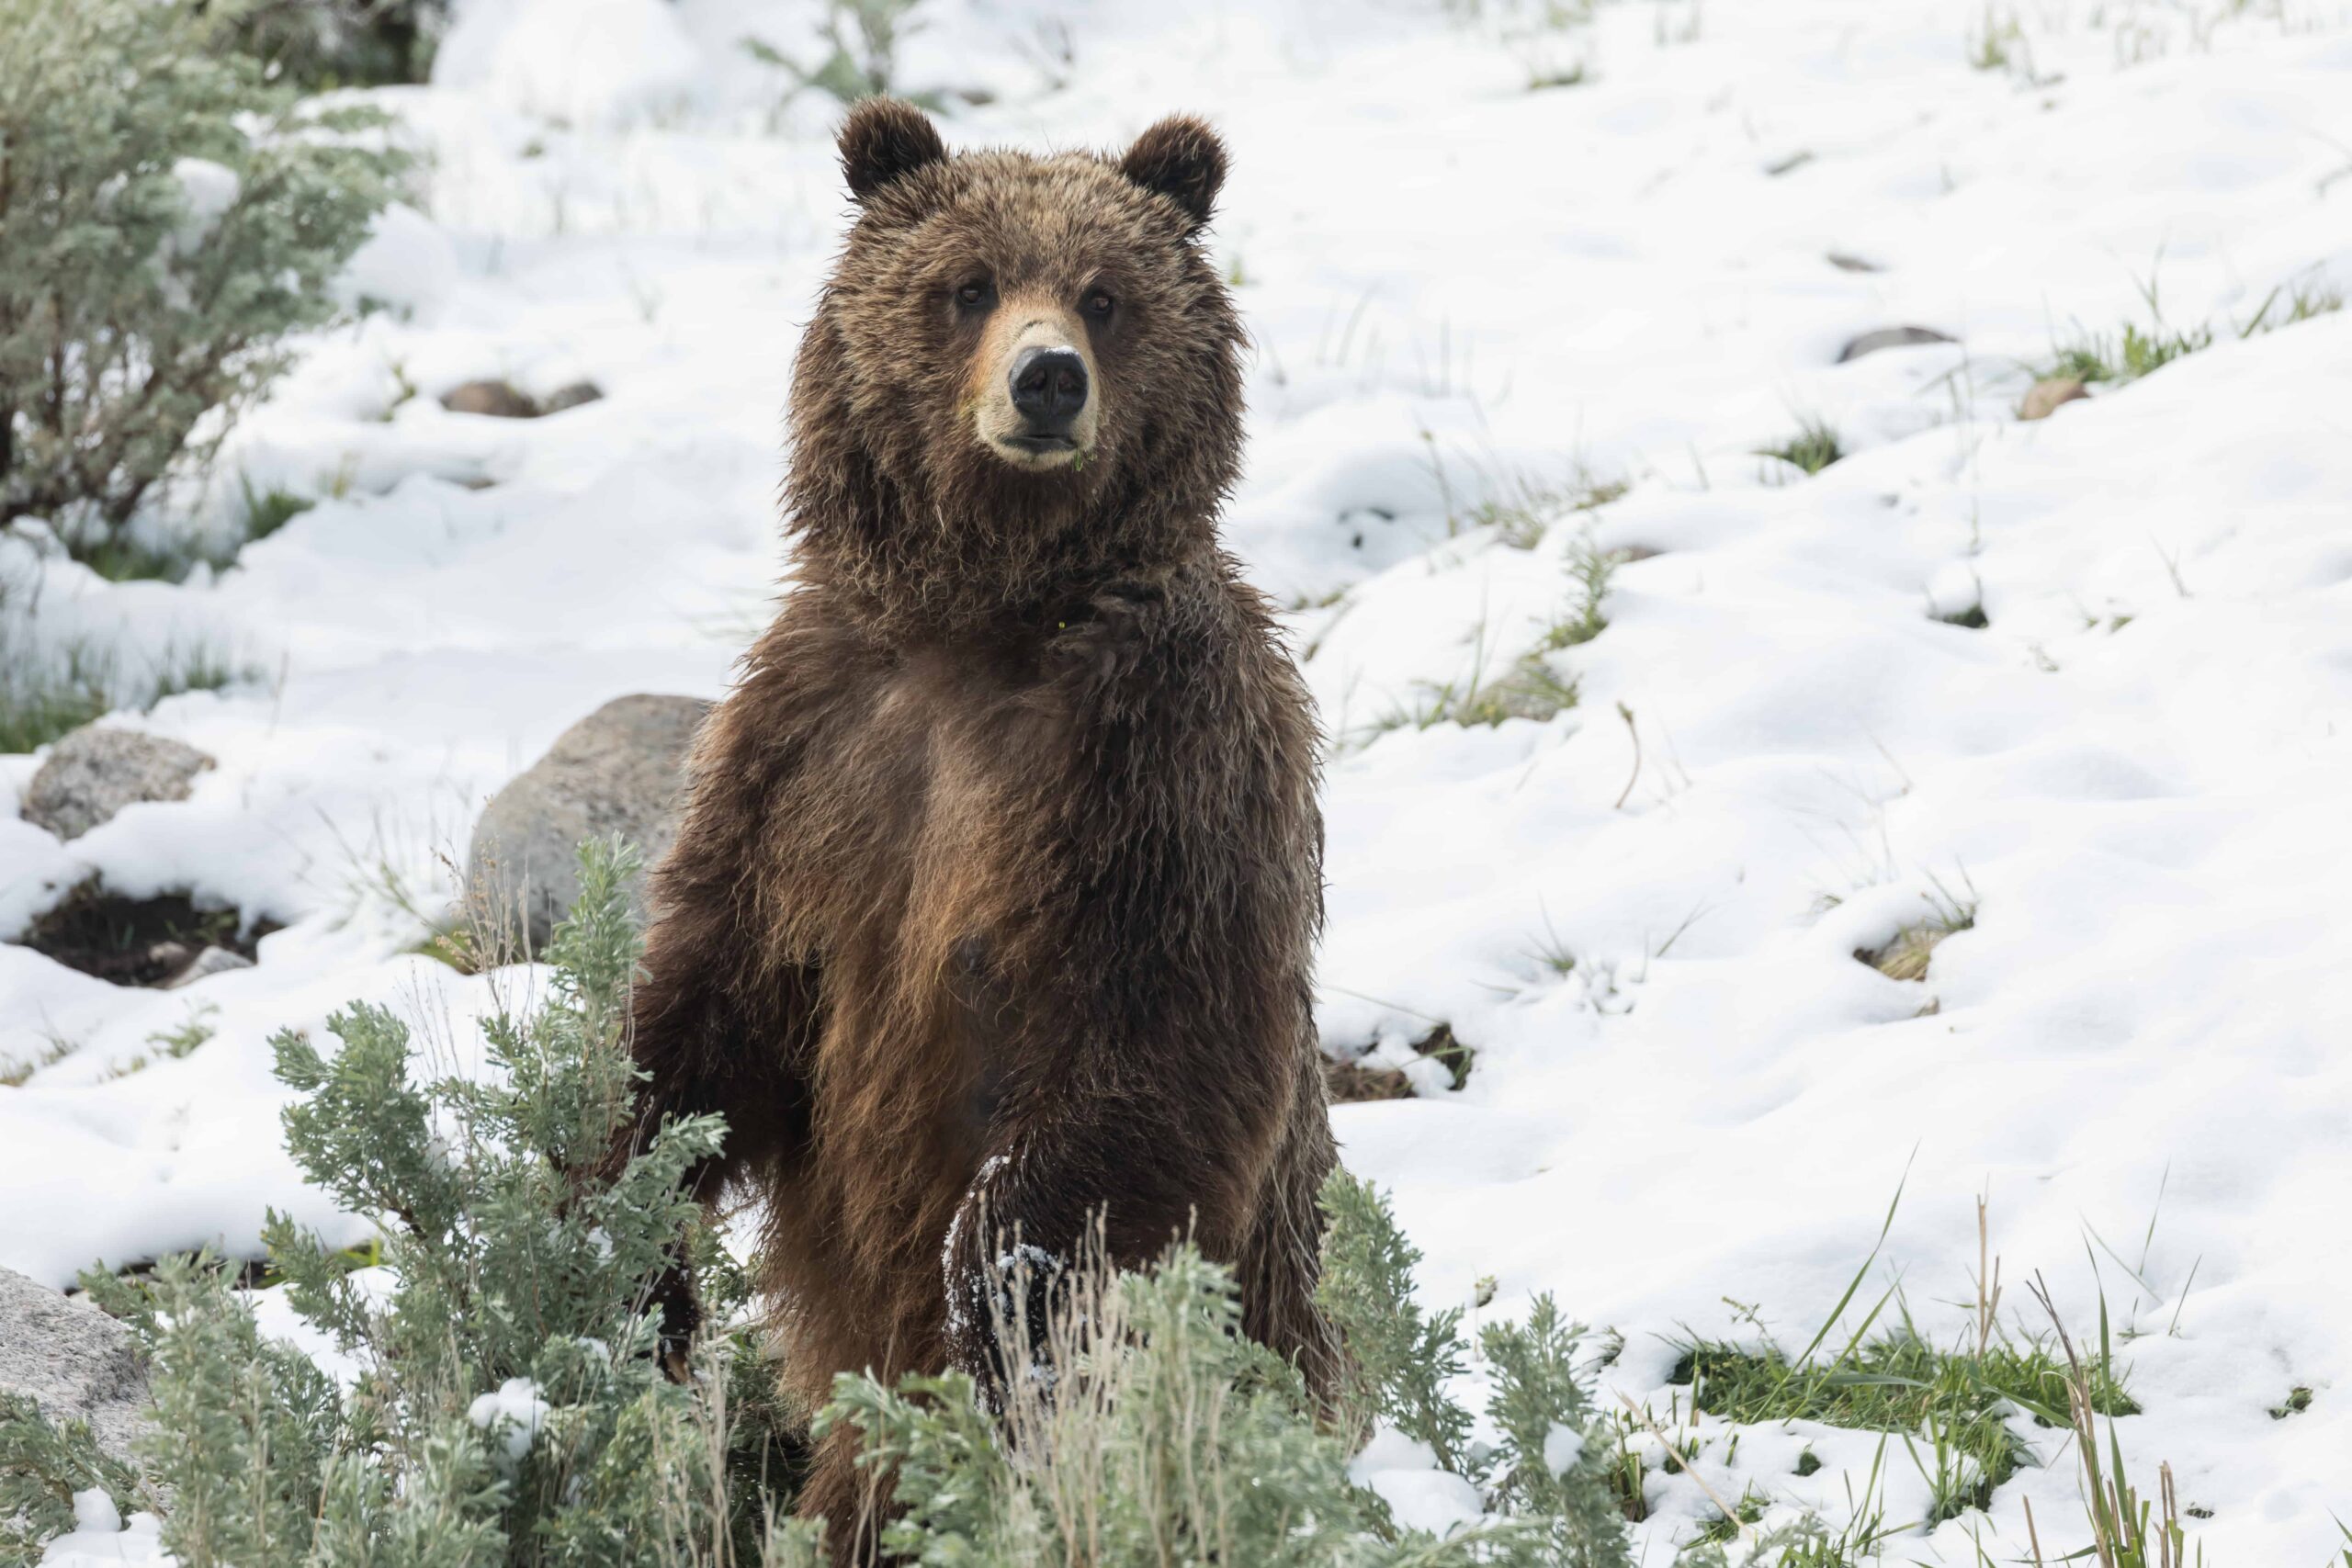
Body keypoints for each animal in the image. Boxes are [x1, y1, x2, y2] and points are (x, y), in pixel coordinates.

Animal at [613, 98, 1341, 1558]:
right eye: (968, 285)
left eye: (1106, 294)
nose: (1047, 378)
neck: (988, 623)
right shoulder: (812, 755)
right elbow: (710, 1007)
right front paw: (624, 1246)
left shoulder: (1158, 769)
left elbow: (1143, 1066)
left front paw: (995, 1299)